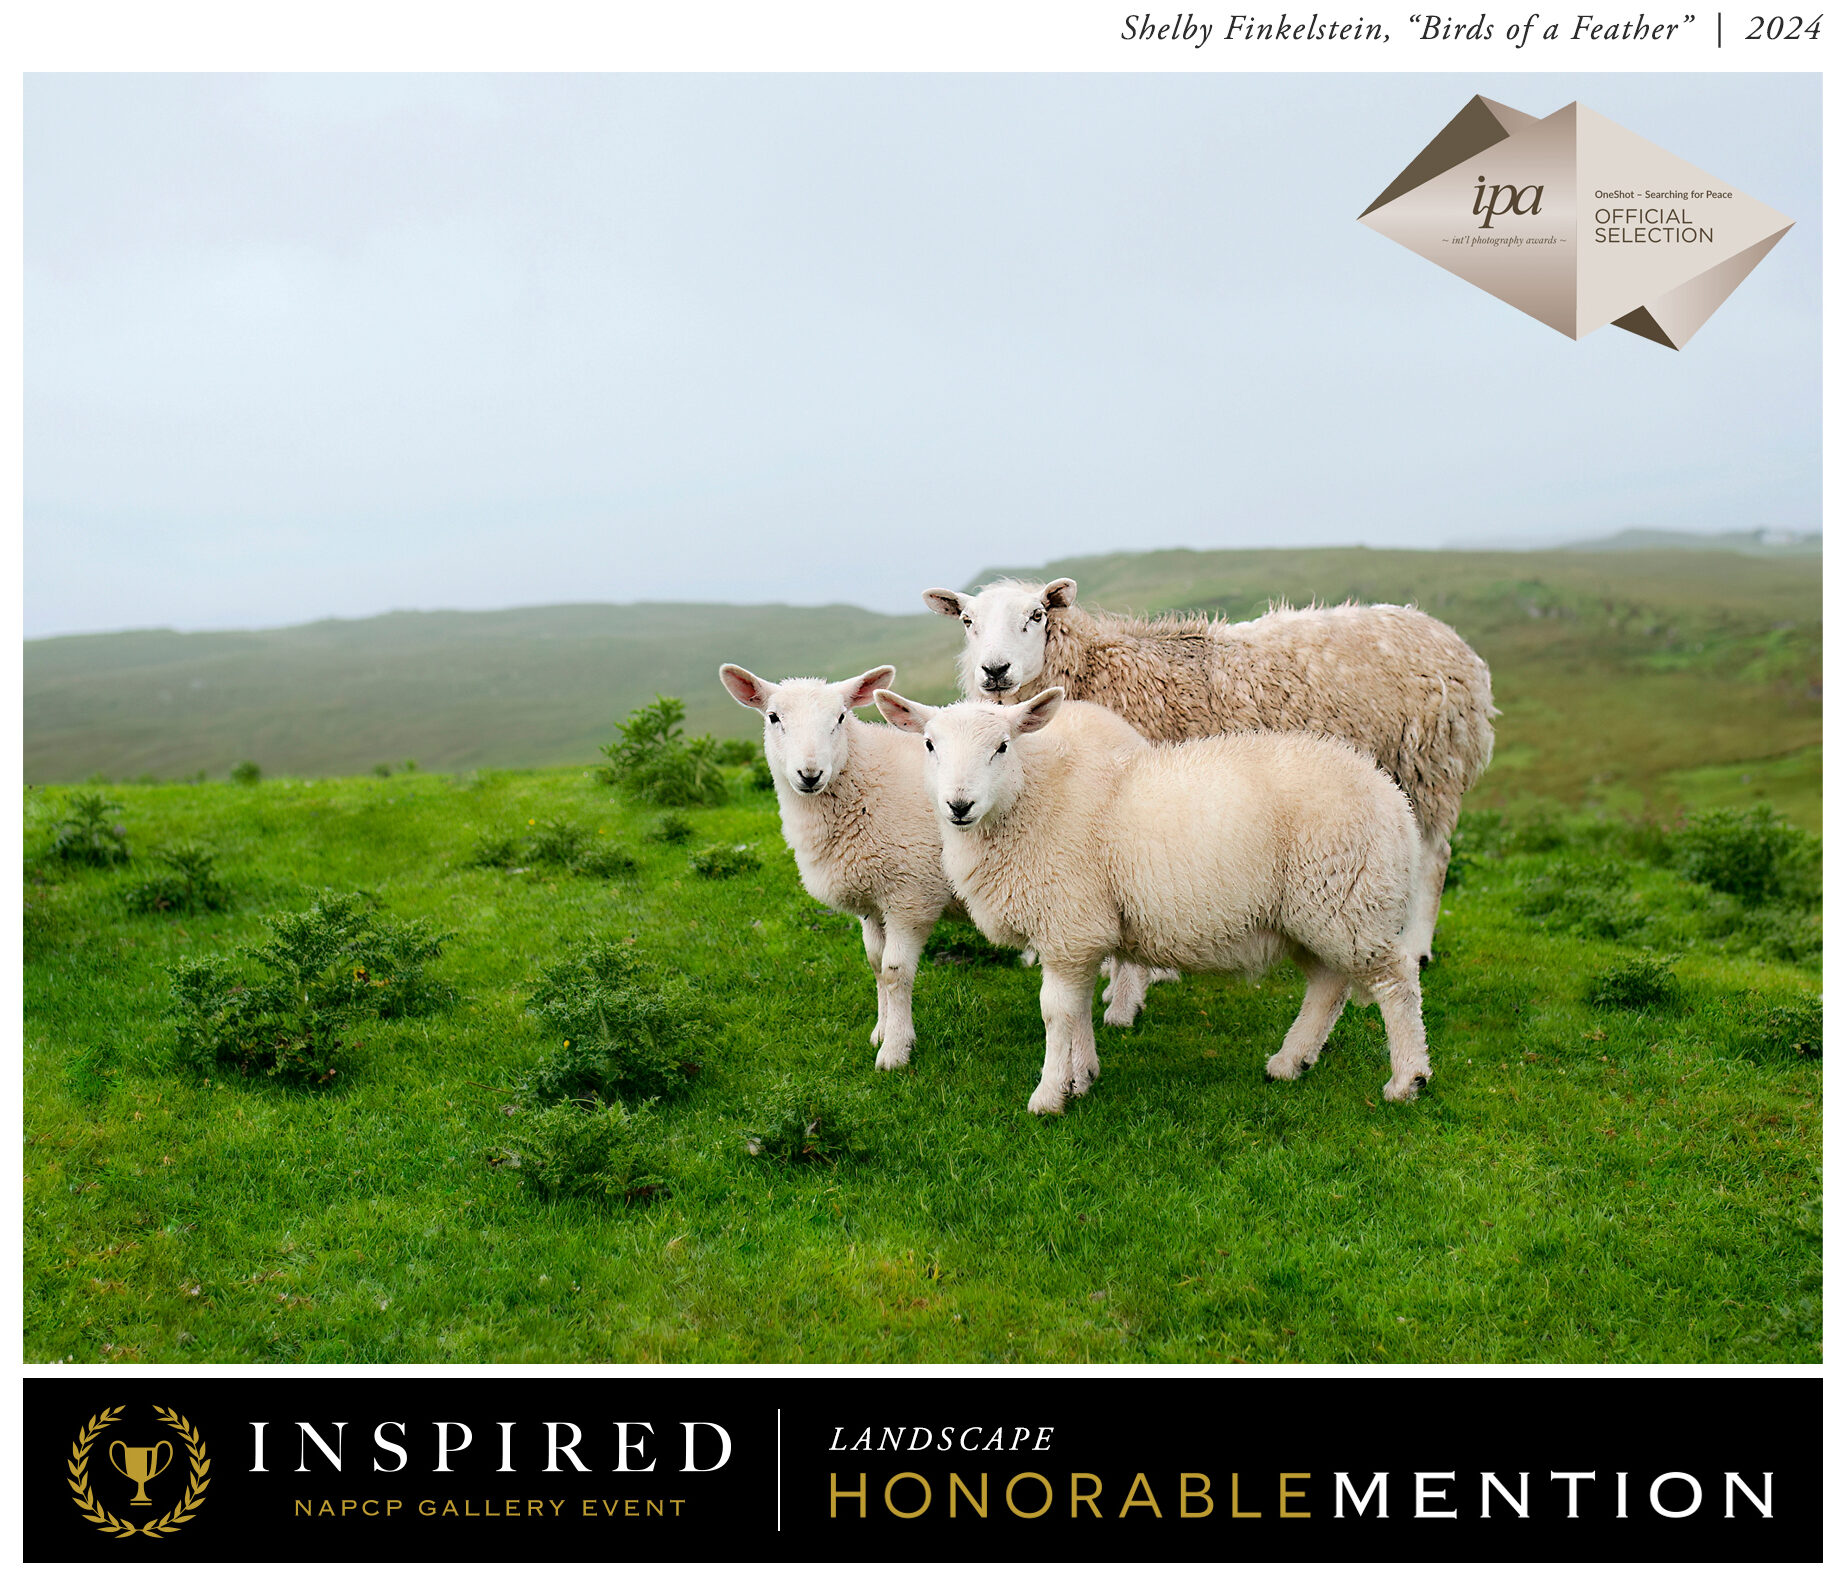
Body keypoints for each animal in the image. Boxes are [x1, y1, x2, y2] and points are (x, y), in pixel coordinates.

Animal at [711, 659, 1157, 1076]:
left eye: (839, 718)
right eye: (773, 717)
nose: (809, 774)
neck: (863, 782)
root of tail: (1113, 721)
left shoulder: (911, 895)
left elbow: (894, 971)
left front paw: (895, 1049)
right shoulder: (873, 902)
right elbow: (875, 963)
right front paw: (882, 1029)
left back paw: (1123, 1006)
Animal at [869, 685, 1430, 1113]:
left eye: (1003, 746)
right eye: (929, 744)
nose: (959, 805)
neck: (1031, 800)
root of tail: (1391, 796)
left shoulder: (1068, 925)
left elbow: (1056, 1012)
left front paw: (1049, 1096)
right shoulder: (1082, 934)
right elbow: (1077, 1010)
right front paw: (1082, 1076)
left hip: (1349, 899)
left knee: (1397, 982)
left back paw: (1408, 1080)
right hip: (1310, 915)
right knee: (1329, 986)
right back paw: (1291, 1062)